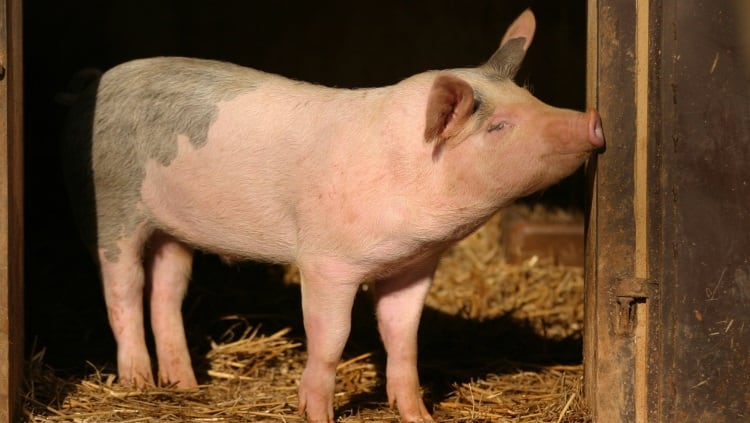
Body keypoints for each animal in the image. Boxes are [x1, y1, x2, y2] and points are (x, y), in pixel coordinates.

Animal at [61, 9, 604, 423]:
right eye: (498, 127)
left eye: (532, 97)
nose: (593, 120)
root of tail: (93, 84)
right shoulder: (326, 261)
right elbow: (330, 339)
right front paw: (317, 414)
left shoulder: (413, 265)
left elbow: (403, 338)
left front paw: (419, 416)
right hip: (111, 208)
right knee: (122, 291)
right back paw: (137, 383)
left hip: (173, 229)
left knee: (167, 291)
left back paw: (186, 386)